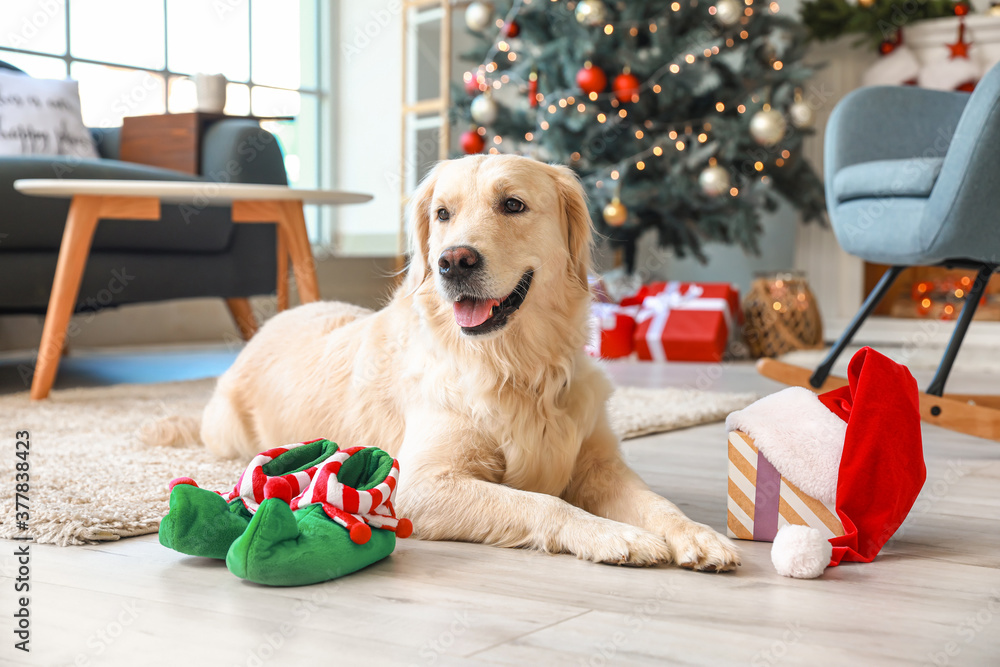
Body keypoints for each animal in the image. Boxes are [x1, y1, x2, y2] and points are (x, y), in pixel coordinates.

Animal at [180, 154, 744, 572]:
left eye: (513, 204)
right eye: (442, 214)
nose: (453, 261)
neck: (518, 366)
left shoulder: (599, 463)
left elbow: (656, 502)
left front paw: (698, 534)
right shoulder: (419, 484)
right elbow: (541, 501)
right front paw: (614, 535)